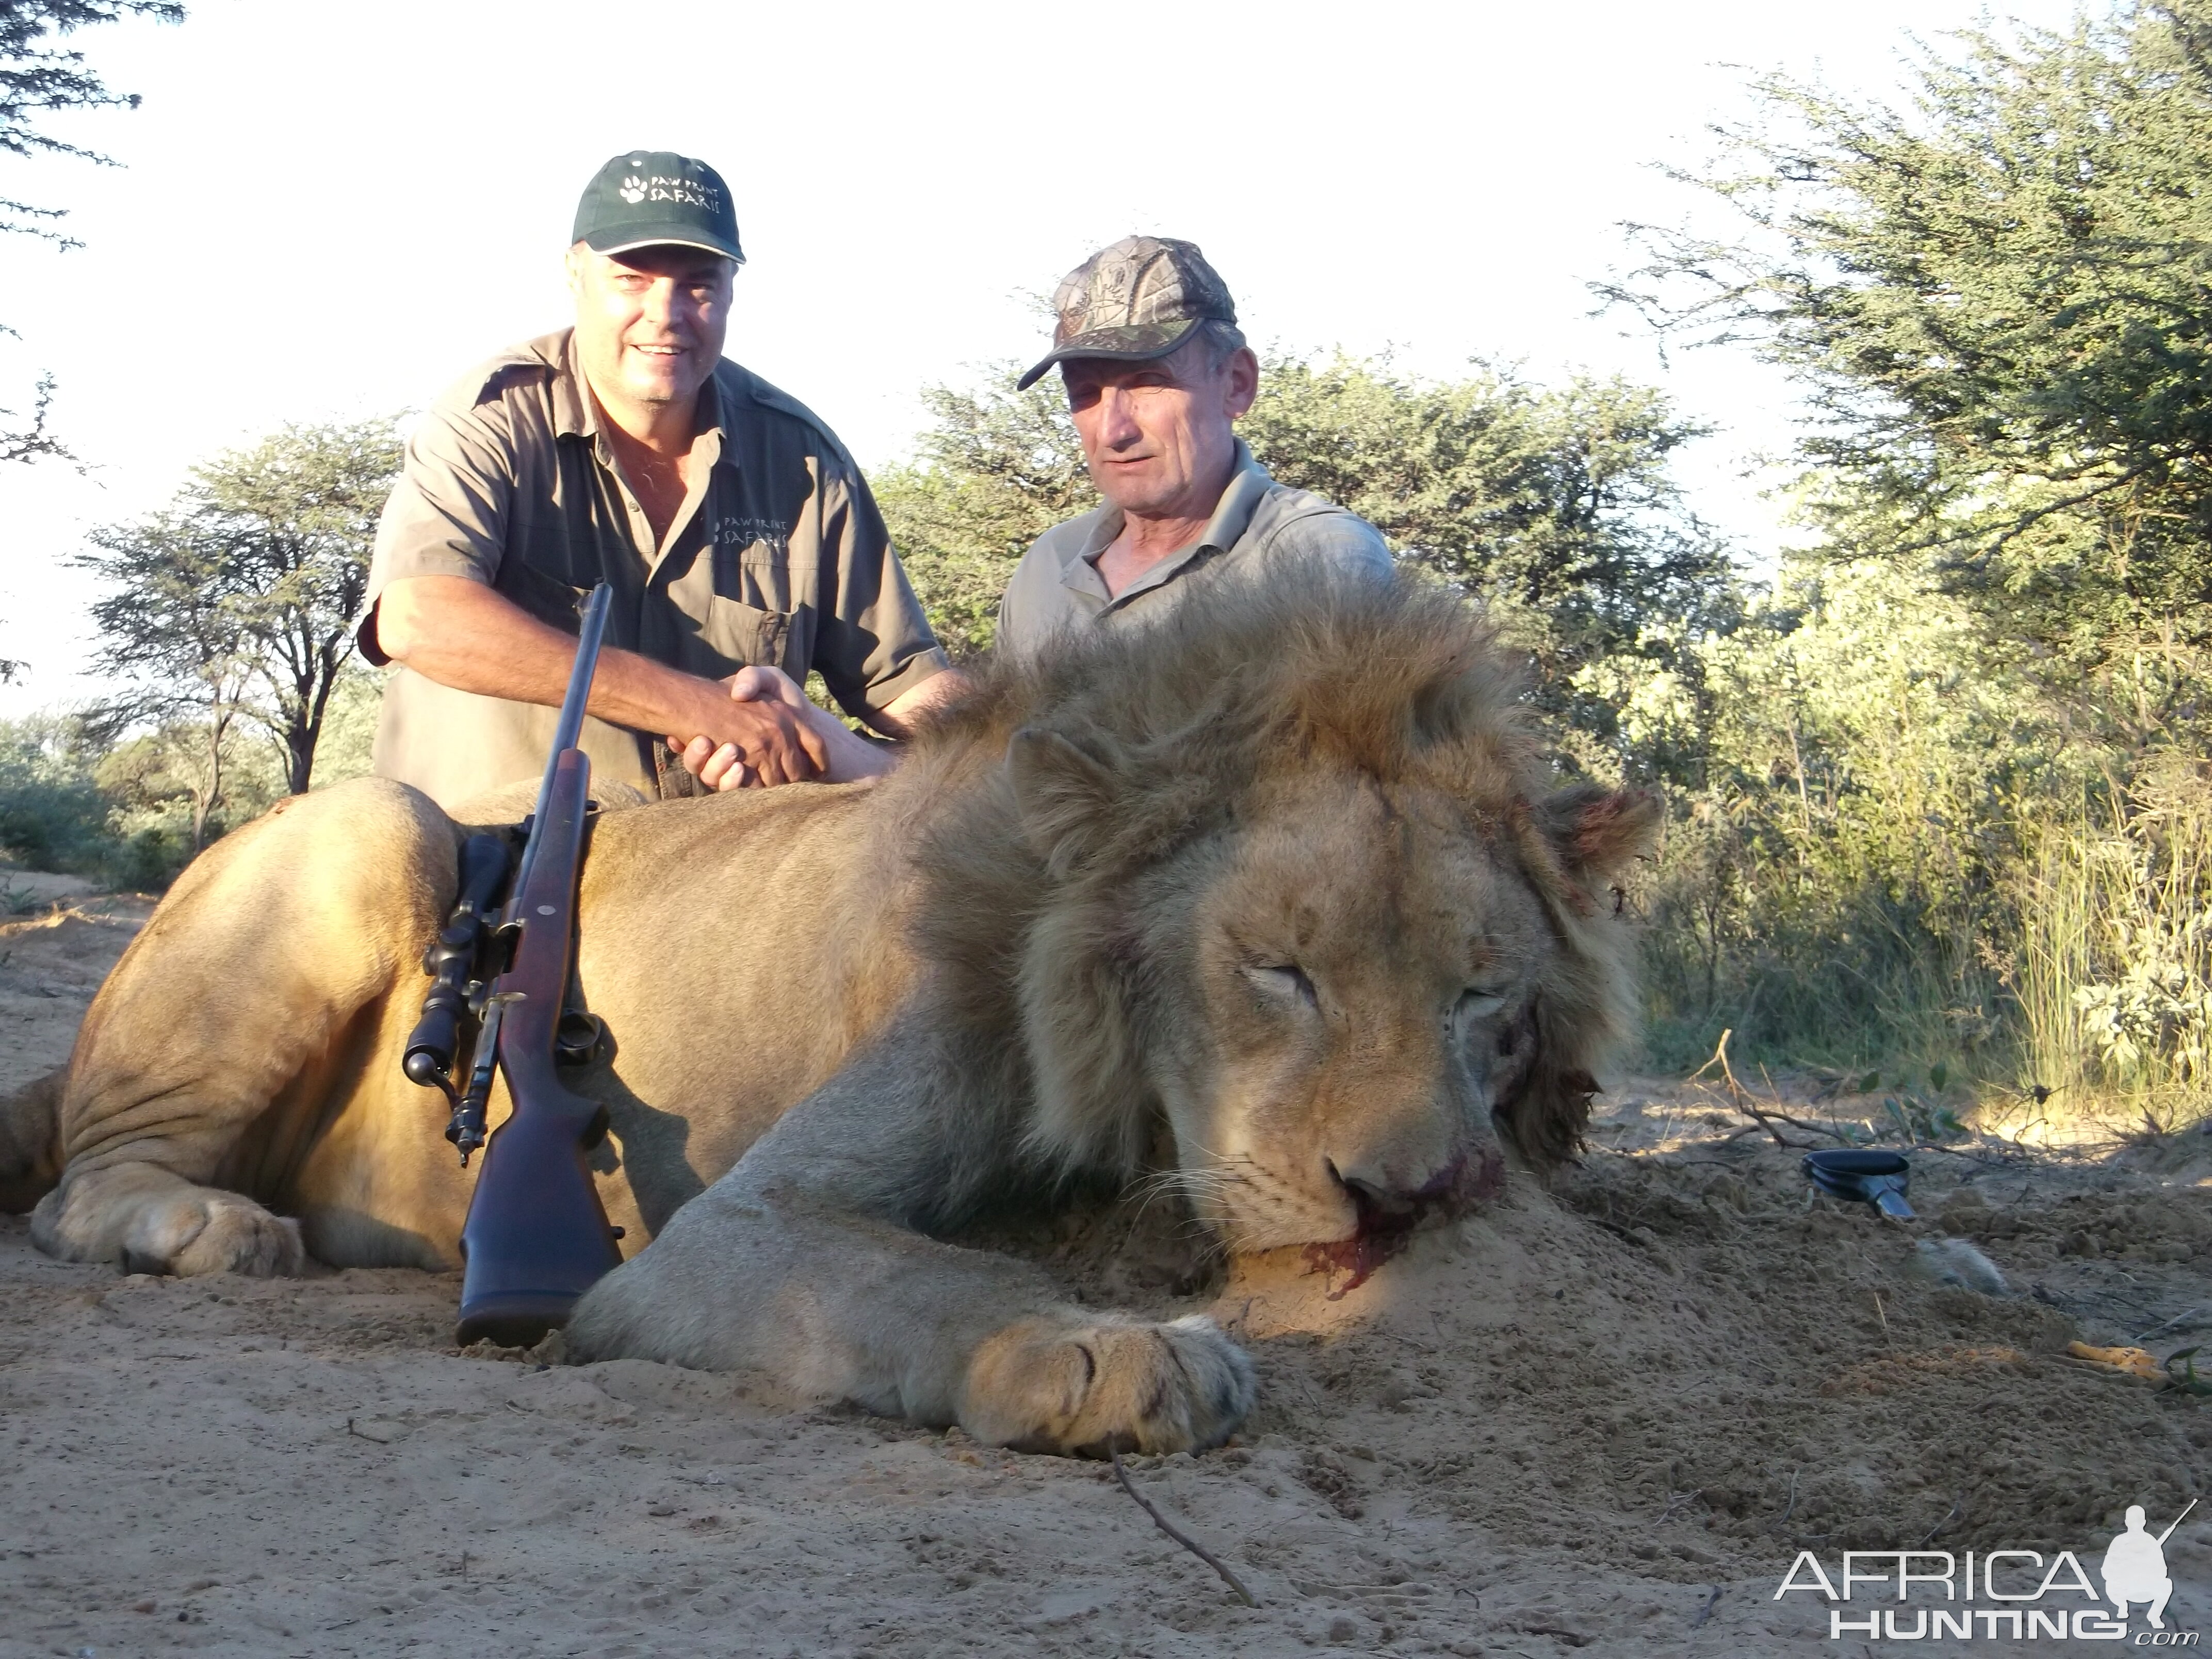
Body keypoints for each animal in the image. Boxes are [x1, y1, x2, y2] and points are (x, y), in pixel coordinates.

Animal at [8, 571, 1654, 1451]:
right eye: (1278, 969)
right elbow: (918, 1274)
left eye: (1485, 996)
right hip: (377, 828)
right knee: (80, 1187)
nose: (1408, 1195)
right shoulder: (722, 1230)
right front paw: (1117, 1349)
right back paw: (203, 1225)